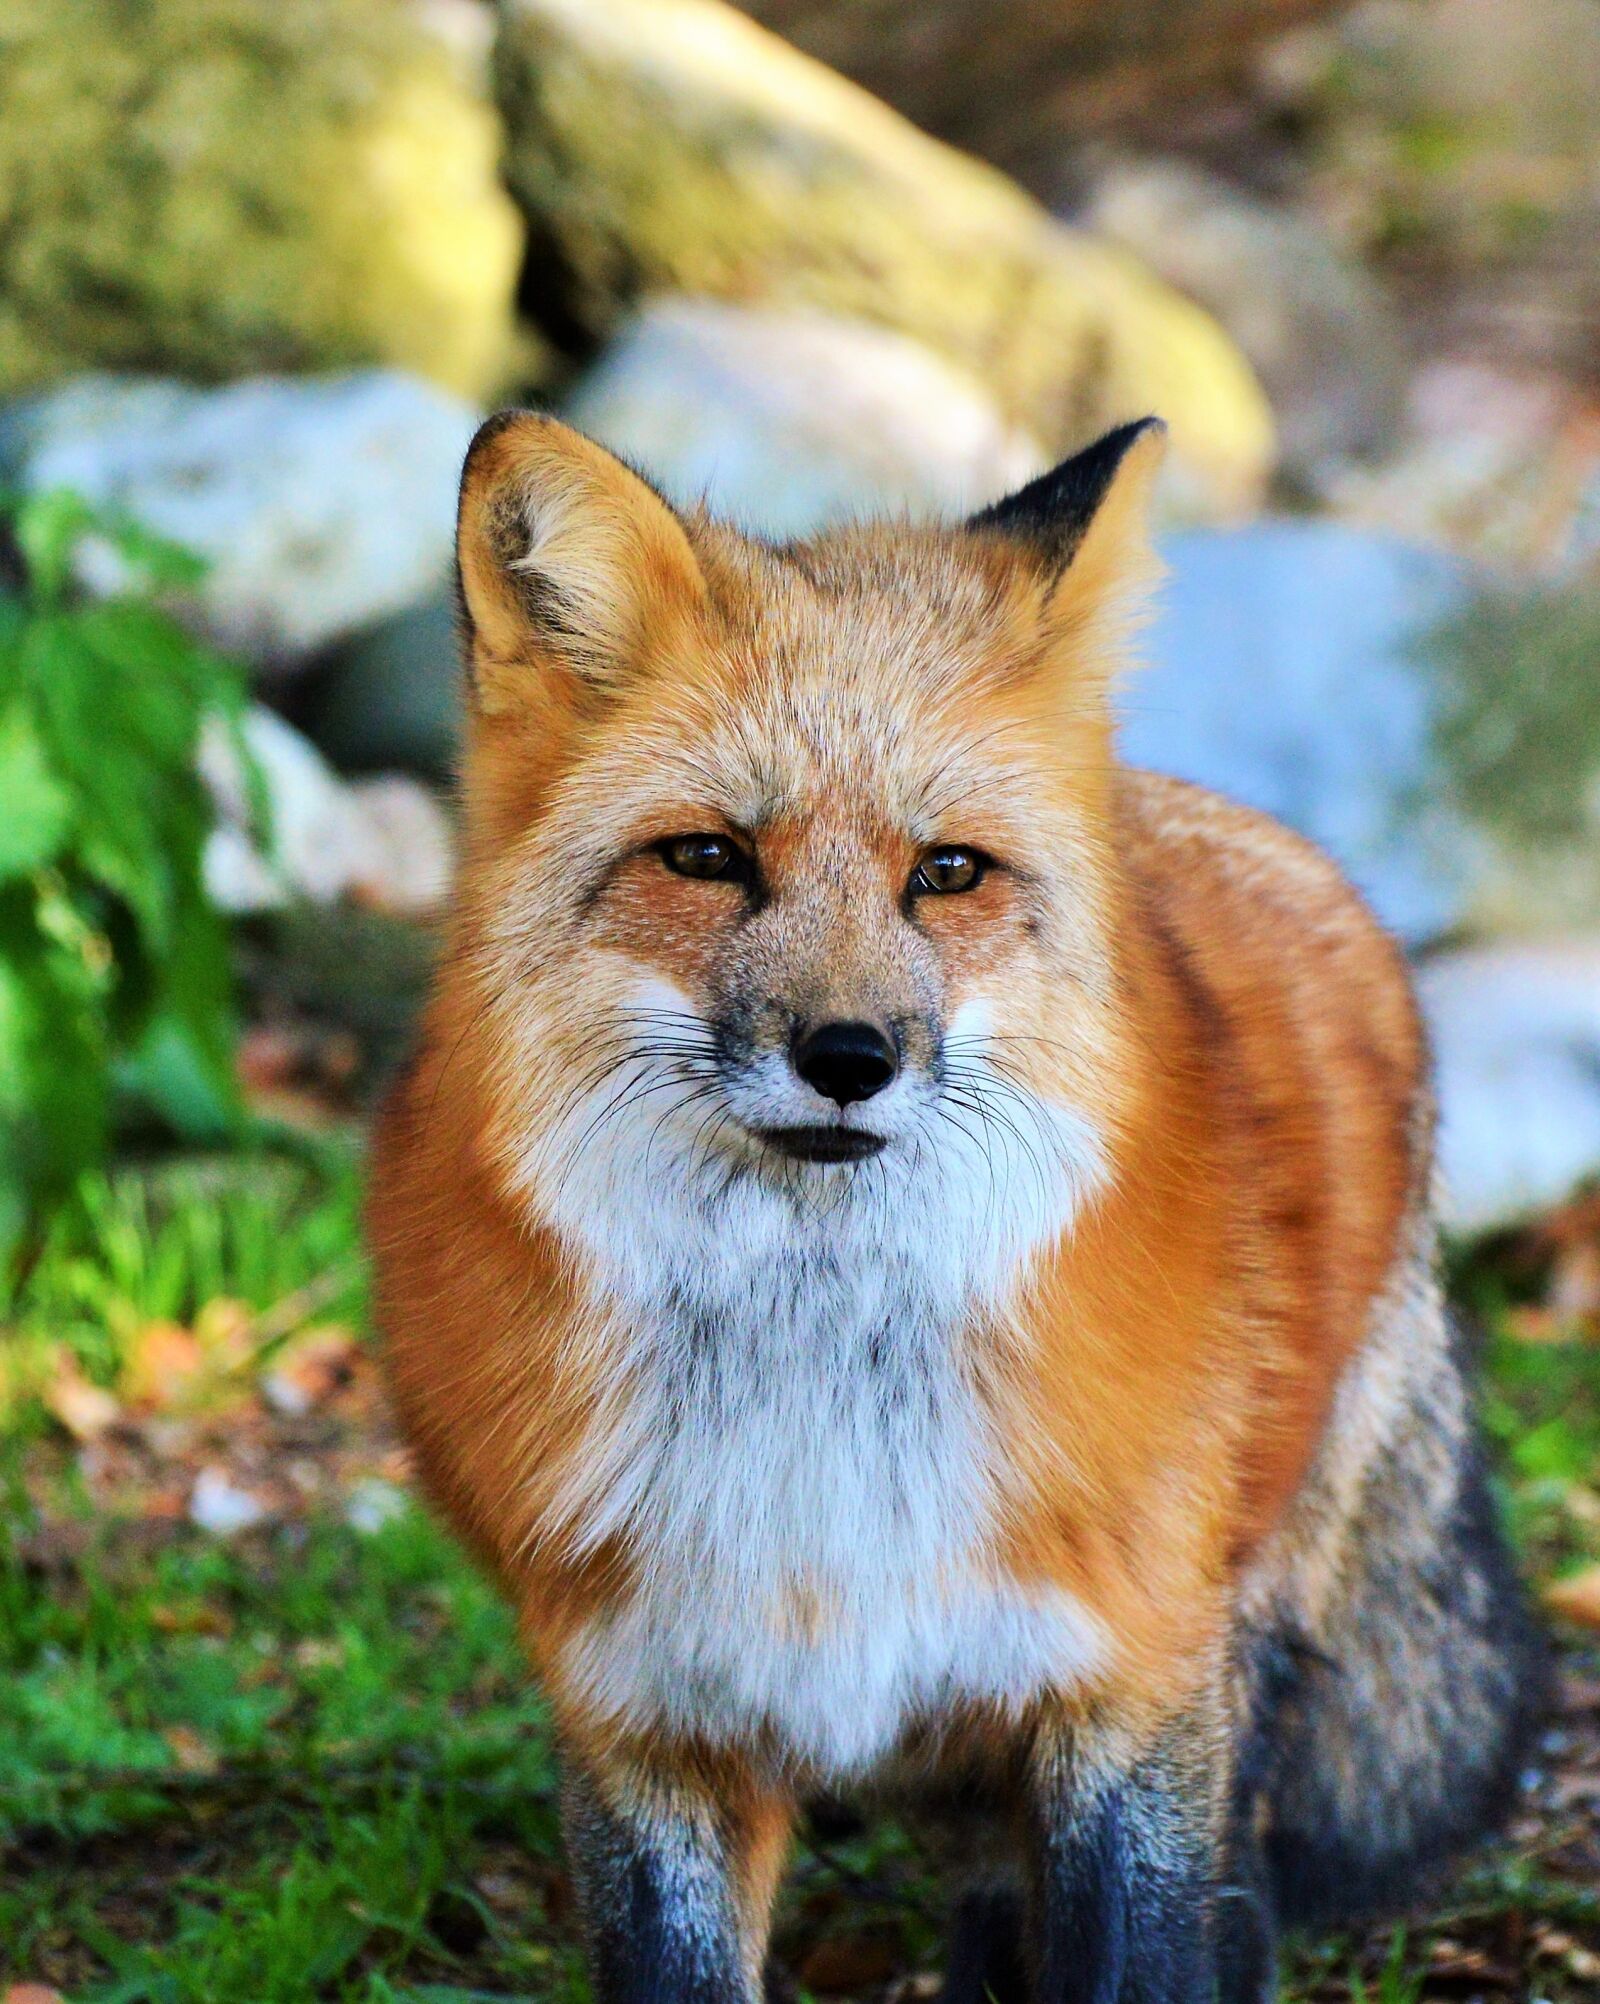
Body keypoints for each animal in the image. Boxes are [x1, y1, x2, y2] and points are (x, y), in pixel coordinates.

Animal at [367, 409, 1547, 2004]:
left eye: (946, 874)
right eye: (708, 857)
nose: (849, 1056)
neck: (816, 1420)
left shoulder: (1130, 1689)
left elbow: (1144, 1955)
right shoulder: (645, 1714)